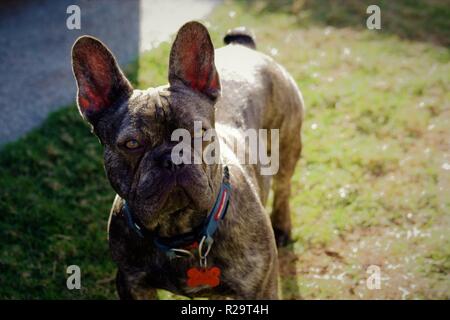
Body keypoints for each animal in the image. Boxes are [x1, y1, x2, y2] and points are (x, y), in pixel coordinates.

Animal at [72, 21, 304, 298]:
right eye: (132, 144)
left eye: (199, 131)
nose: (173, 158)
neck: (178, 231)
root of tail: (243, 46)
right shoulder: (131, 283)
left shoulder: (260, 289)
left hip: (287, 143)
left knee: (283, 187)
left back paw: (282, 227)